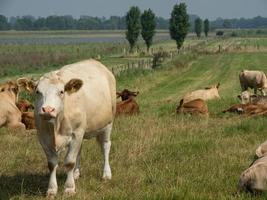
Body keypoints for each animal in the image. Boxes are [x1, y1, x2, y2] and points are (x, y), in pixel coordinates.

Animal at [18, 59, 115, 197]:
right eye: (38, 92)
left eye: (61, 92)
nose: (48, 109)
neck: (56, 125)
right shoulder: (43, 137)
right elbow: (52, 164)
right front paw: (52, 189)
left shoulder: (76, 134)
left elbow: (69, 162)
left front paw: (69, 188)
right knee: (80, 150)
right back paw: (76, 173)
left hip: (108, 123)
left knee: (105, 146)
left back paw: (106, 174)